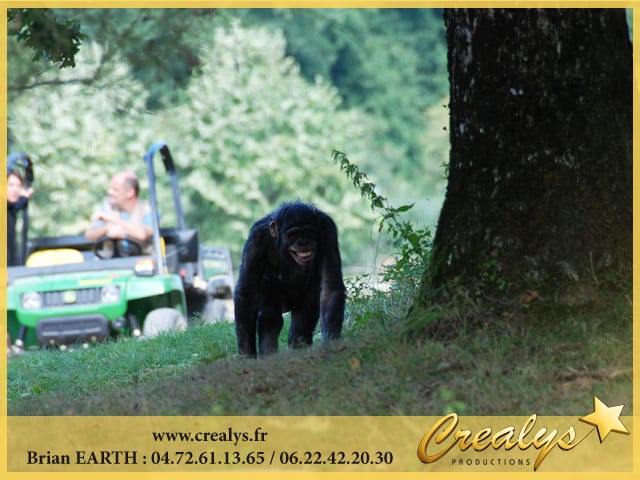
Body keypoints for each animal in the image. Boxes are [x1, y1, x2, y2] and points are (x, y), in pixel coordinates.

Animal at [234, 200, 344, 356]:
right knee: (270, 316)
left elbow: (330, 287)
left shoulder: (328, 230)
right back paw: (269, 353)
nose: (303, 242)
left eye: (308, 232)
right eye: (293, 234)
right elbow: (247, 292)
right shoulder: (256, 239)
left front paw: (331, 342)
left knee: (303, 317)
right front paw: (247, 354)